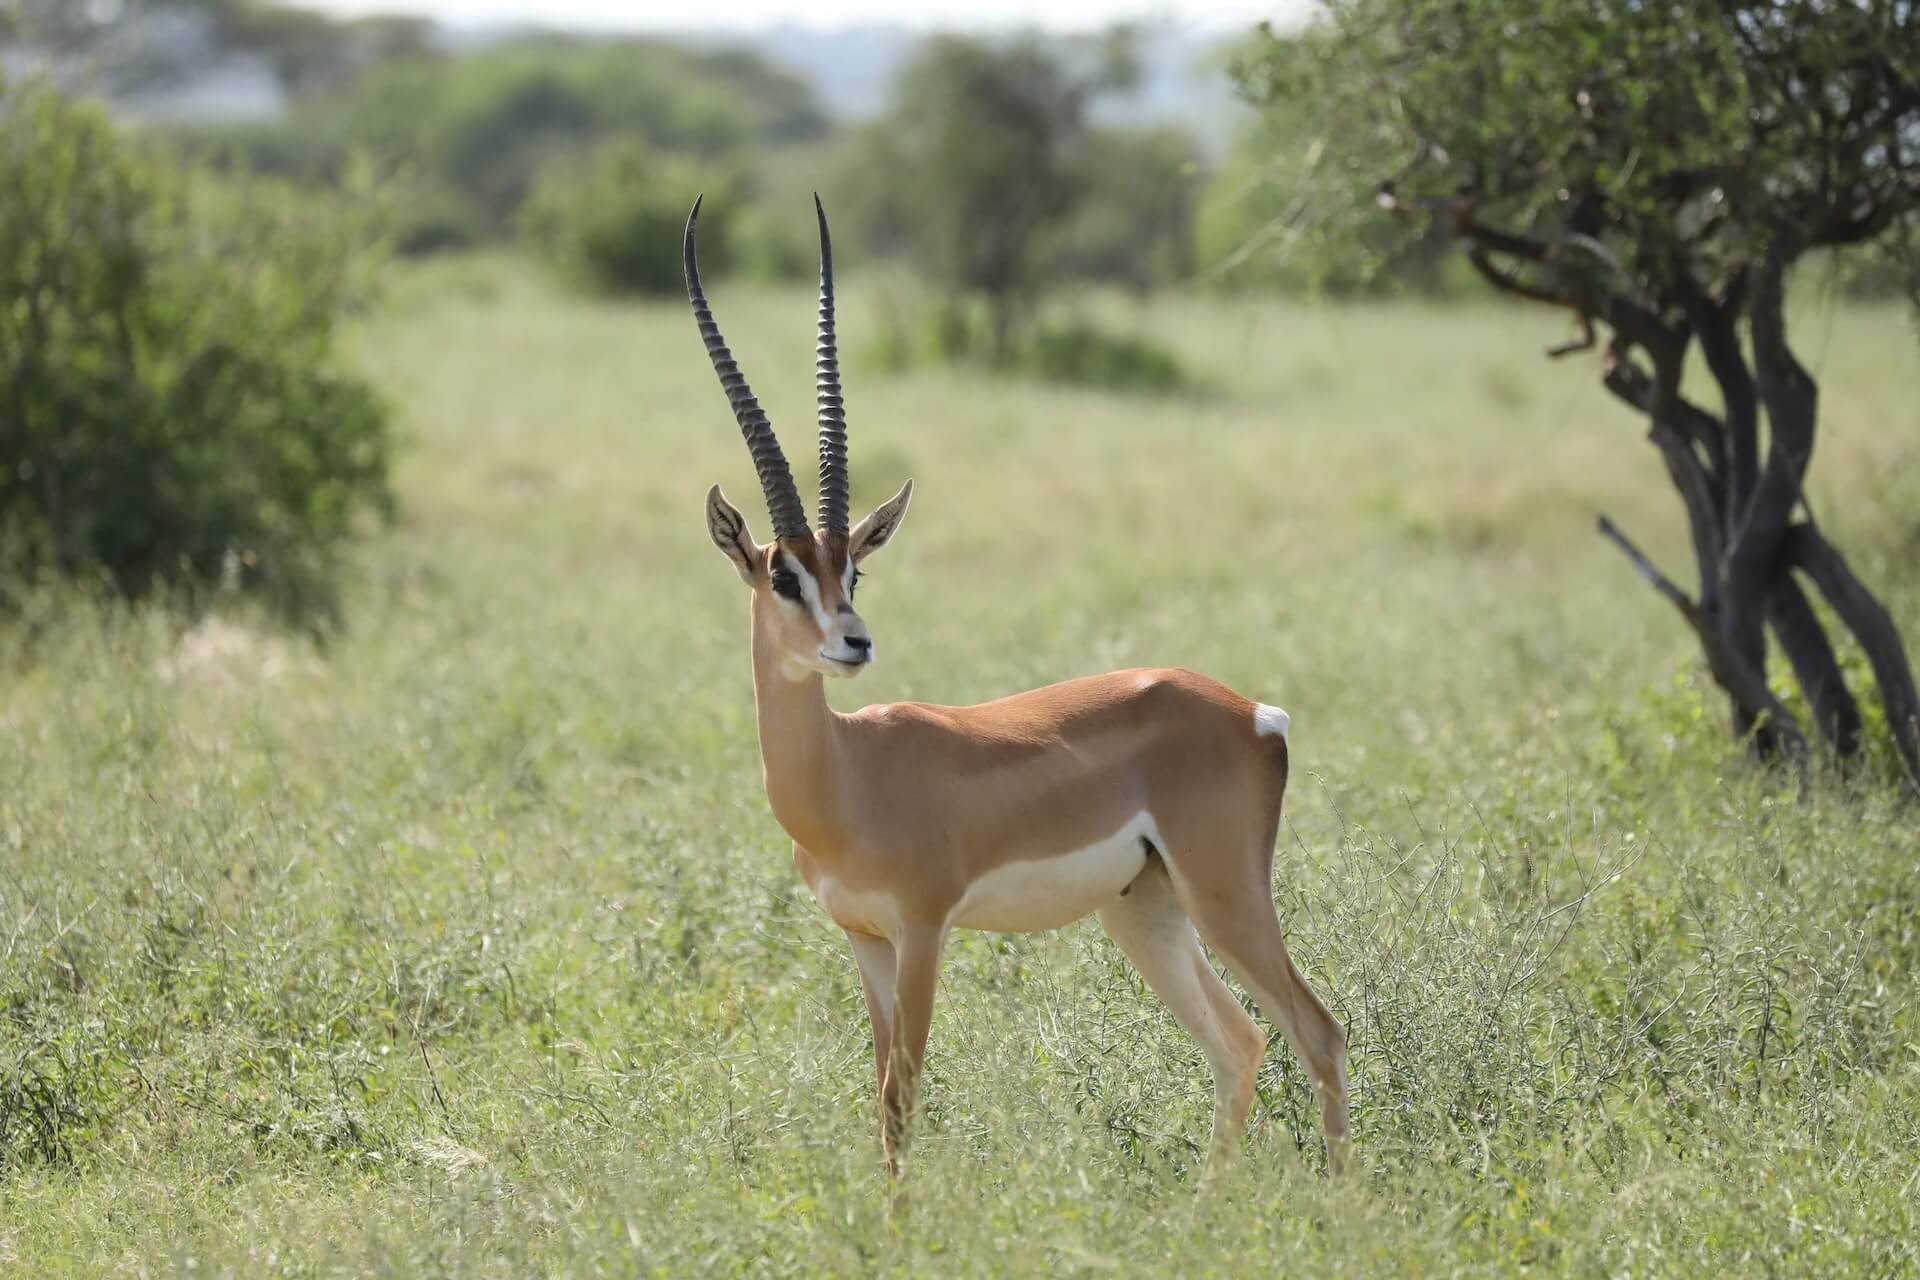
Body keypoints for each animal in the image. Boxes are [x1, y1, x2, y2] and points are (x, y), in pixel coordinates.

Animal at [691, 195, 1351, 1189]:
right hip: (1147, 911)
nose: (855, 642)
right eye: (783, 574)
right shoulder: (863, 941)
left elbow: (903, 1100)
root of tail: (1254, 713)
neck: (845, 776)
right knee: (1239, 1045)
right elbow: (878, 1098)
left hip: (1224, 895)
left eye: (853, 568)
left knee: (1318, 1032)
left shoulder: (924, 931)